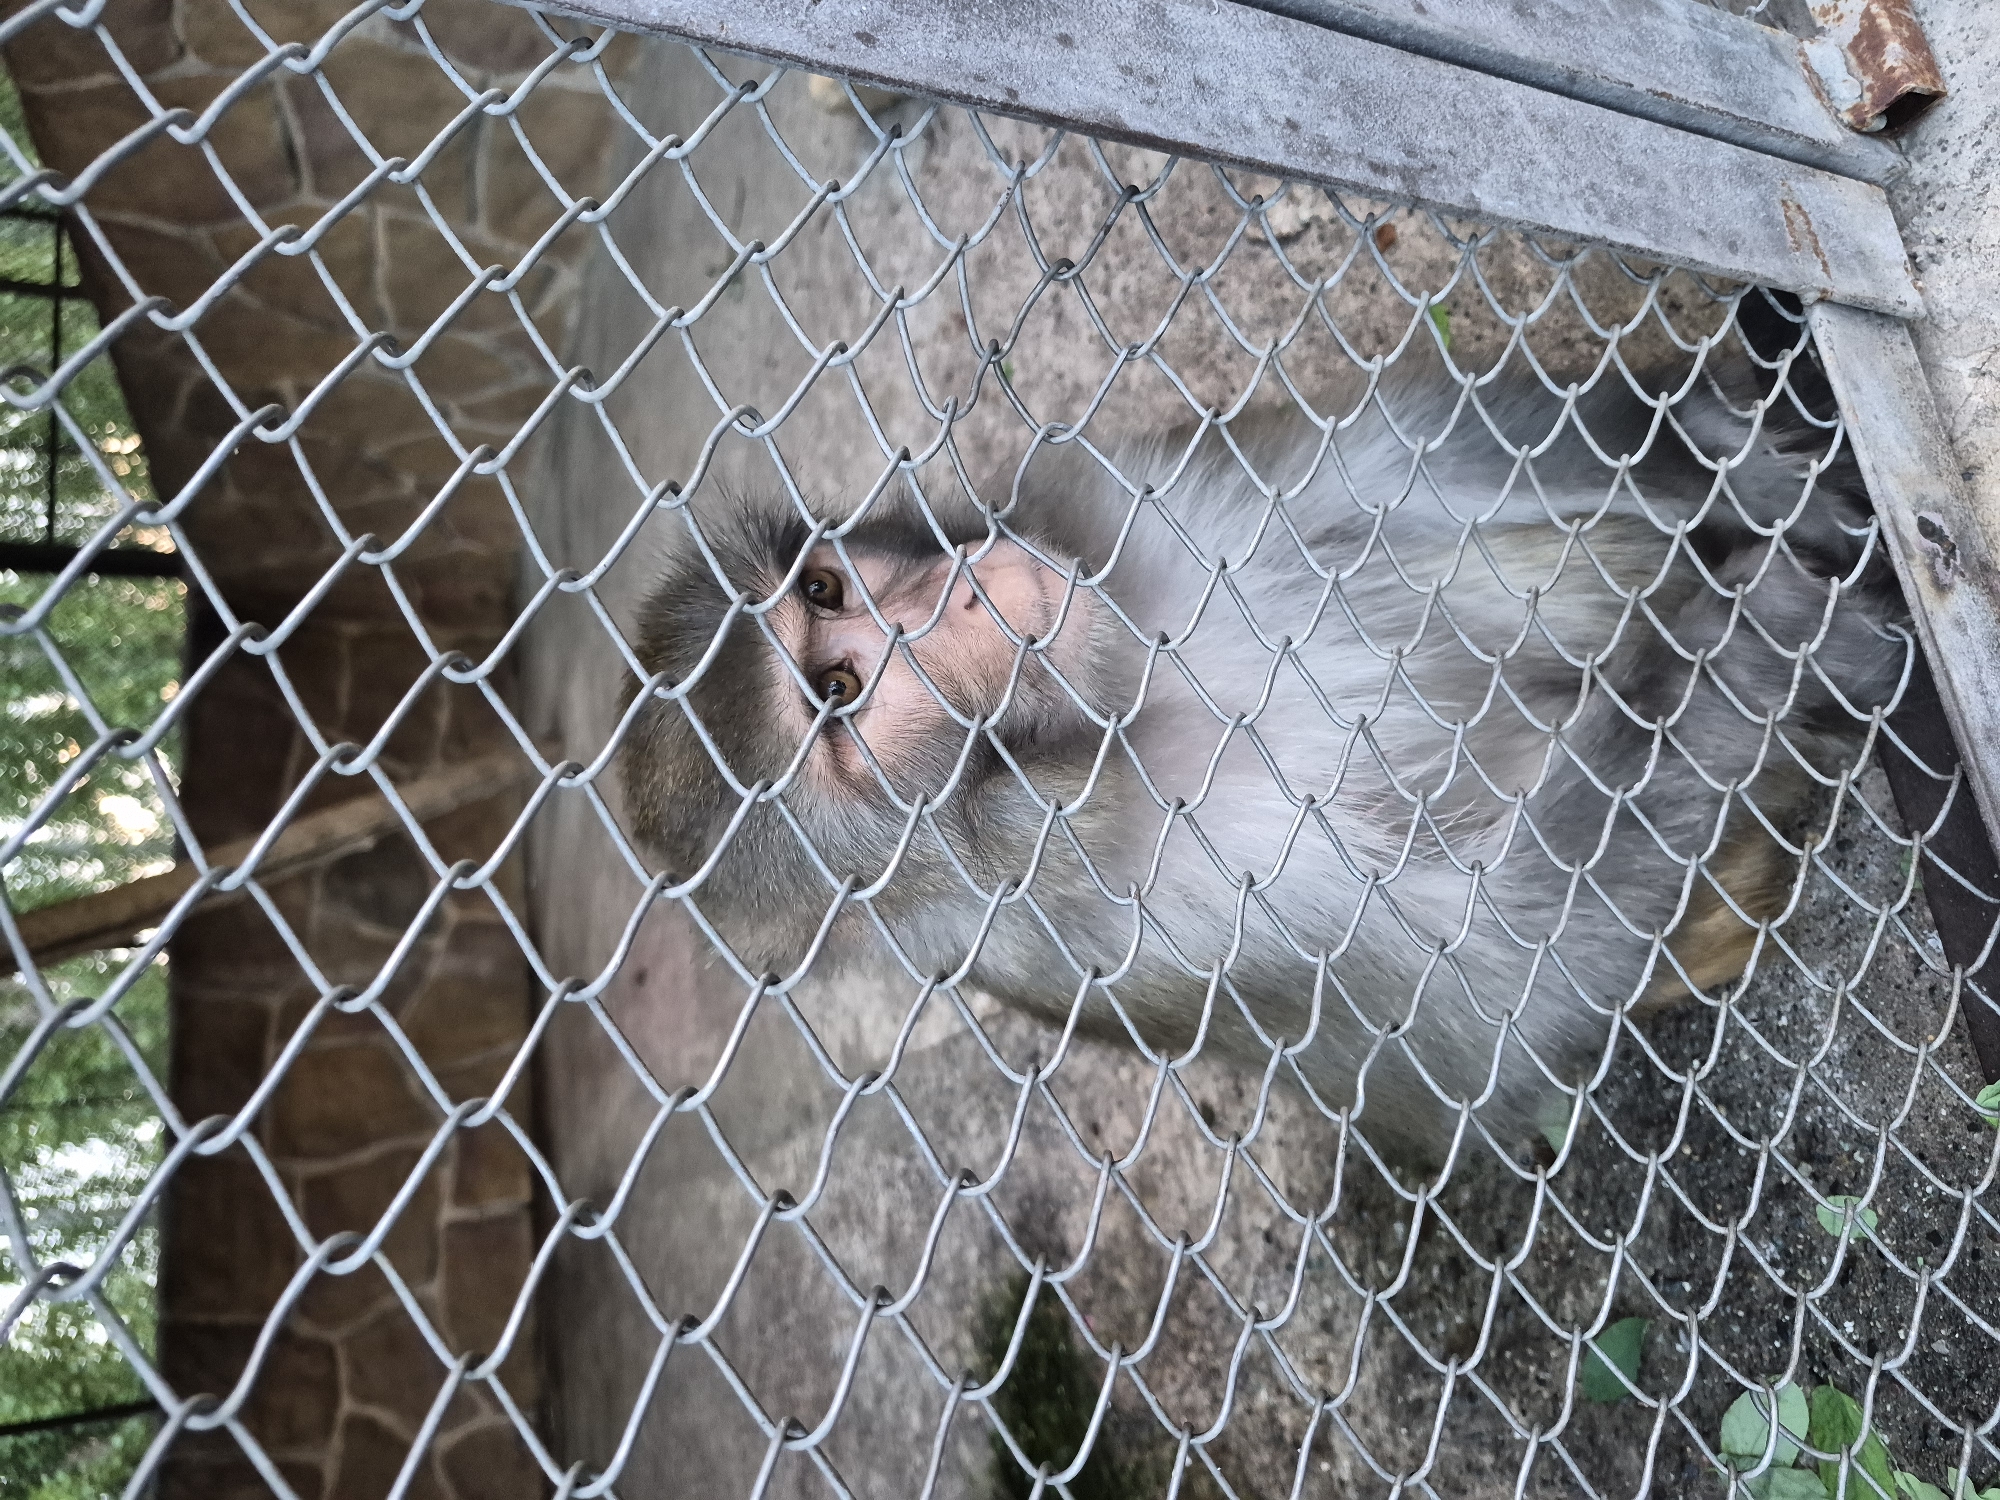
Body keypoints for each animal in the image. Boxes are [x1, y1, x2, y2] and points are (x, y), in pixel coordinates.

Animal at [618, 307, 1912, 1167]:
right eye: (838, 692)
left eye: (826, 592)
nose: (956, 602)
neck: (1111, 706)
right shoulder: (1164, 915)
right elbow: (1507, 975)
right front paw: (1757, 633)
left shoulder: (1111, 503)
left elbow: (1399, 463)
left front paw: (1716, 451)